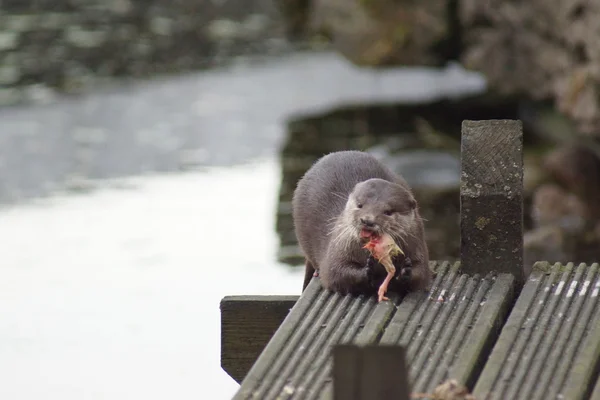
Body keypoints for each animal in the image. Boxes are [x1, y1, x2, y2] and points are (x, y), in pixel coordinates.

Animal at [292, 150, 428, 296]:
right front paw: (367, 270)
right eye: (360, 205)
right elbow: (335, 273)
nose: (367, 220)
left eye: (388, 212)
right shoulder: (337, 248)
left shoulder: (417, 241)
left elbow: (422, 273)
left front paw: (406, 271)